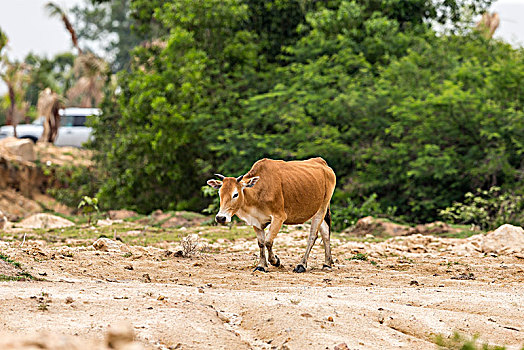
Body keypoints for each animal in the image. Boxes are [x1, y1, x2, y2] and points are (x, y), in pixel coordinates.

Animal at [206, 157, 336, 272]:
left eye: (235, 194)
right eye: (220, 193)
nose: (220, 218)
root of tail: (323, 163)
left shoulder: (279, 217)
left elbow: (268, 241)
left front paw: (275, 261)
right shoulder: (256, 221)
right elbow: (261, 243)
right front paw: (261, 265)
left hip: (322, 208)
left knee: (312, 236)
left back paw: (302, 265)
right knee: (325, 233)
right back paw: (327, 264)